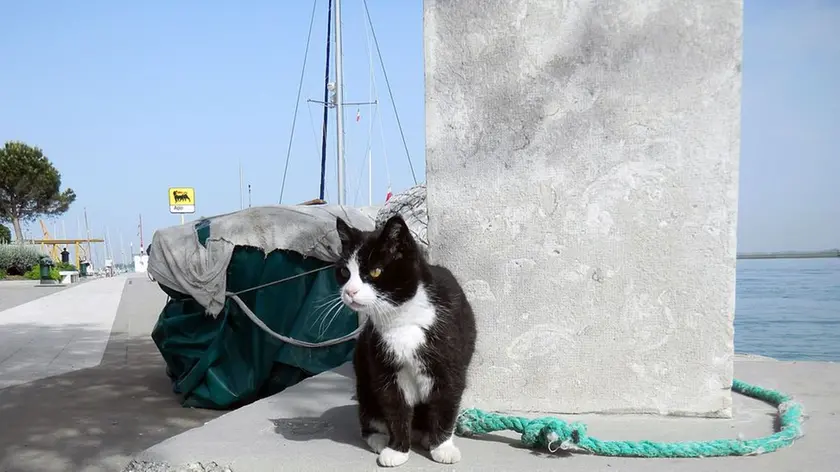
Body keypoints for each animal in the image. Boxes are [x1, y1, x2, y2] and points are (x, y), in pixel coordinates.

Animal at [334, 215, 480, 468]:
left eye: (375, 271)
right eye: (344, 272)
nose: (350, 291)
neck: (403, 319)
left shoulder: (449, 365)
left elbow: (446, 402)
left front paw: (443, 448)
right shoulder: (383, 366)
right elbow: (395, 408)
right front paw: (397, 449)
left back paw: (427, 437)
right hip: (363, 377)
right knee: (369, 416)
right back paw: (380, 439)